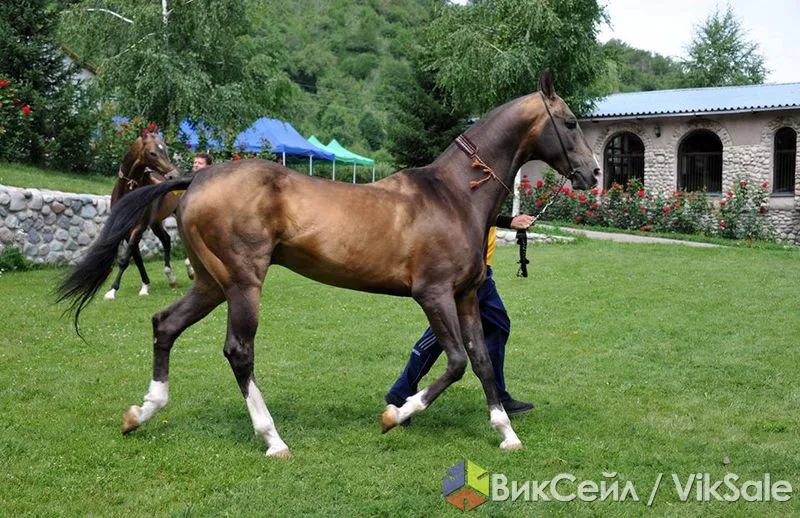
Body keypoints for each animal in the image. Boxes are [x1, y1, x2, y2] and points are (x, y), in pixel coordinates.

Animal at [103, 131, 184, 300]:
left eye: (166, 150)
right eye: (152, 153)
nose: (173, 175)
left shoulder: (139, 225)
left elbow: (126, 259)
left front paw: (112, 290)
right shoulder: (126, 228)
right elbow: (136, 257)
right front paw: (145, 286)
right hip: (155, 222)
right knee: (166, 240)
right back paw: (171, 278)